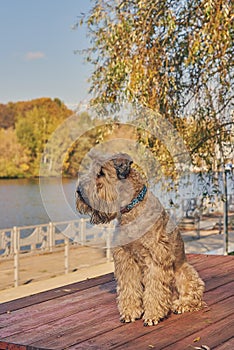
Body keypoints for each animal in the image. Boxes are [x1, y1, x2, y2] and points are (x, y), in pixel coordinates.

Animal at [76, 152, 204, 326]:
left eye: (101, 173)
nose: (79, 191)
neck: (131, 210)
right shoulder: (125, 259)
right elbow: (129, 288)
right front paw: (130, 313)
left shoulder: (155, 258)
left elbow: (155, 290)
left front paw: (152, 315)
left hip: (185, 272)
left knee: (193, 295)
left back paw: (181, 305)